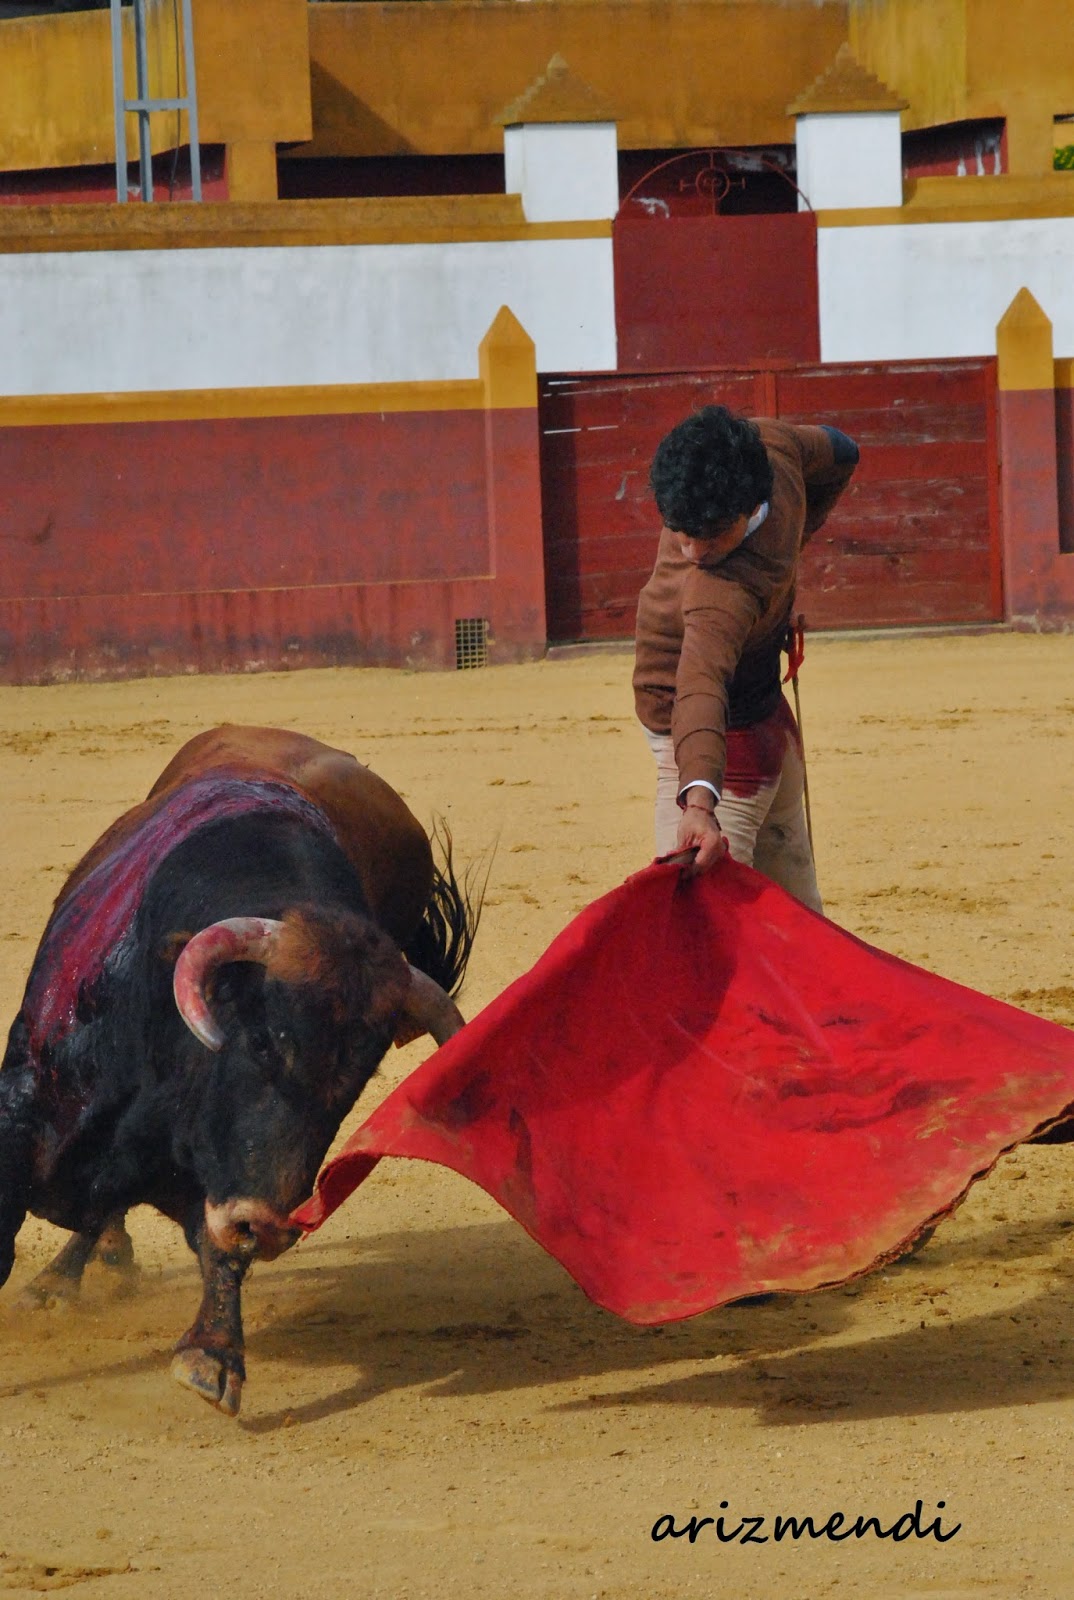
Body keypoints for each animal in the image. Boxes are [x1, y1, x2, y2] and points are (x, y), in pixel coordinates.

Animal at [0, 725, 482, 1416]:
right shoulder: (23, 1108)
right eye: (259, 1042)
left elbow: (219, 1246)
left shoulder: (220, 1178)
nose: (269, 1223)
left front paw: (213, 1354)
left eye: (355, 1082)